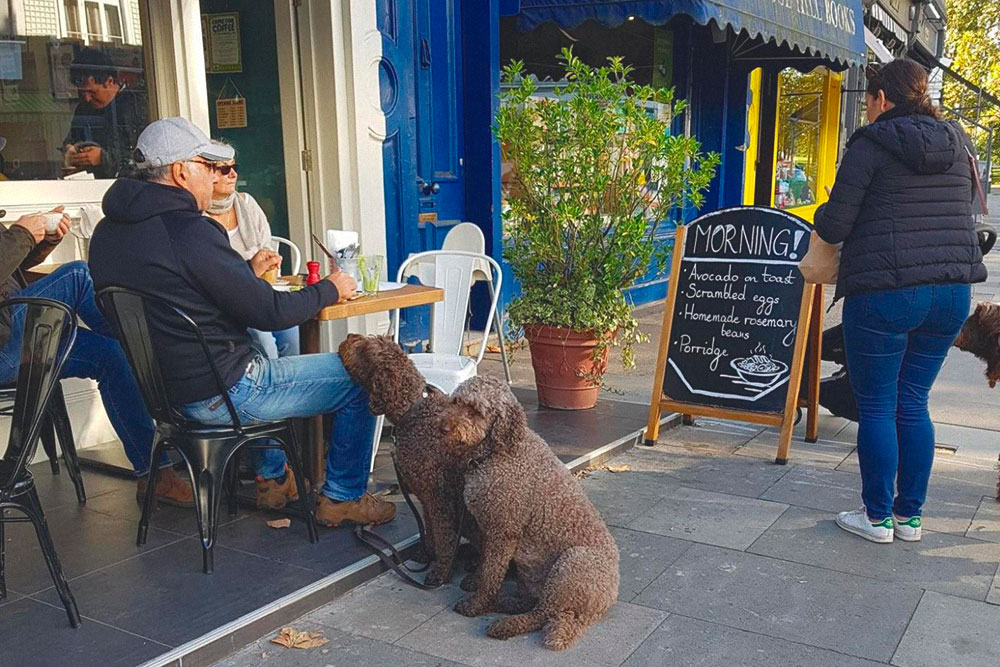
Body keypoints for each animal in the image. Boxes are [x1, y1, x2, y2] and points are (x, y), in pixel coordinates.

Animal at [336, 334, 476, 584]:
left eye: (364, 349)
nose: (349, 336)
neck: (414, 410)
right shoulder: (426, 500)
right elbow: (429, 531)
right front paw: (426, 554)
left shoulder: (438, 500)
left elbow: (444, 538)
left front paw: (440, 572)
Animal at [442, 376, 620, 652]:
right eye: (456, 401)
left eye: (476, 411)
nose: (443, 428)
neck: (497, 452)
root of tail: (605, 600)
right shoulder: (488, 529)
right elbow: (484, 563)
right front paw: (475, 579)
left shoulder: (503, 532)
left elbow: (491, 574)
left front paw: (477, 604)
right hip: (534, 575)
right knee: (534, 605)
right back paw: (507, 603)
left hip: (571, 564)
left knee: (541, 614)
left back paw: (504, 623)